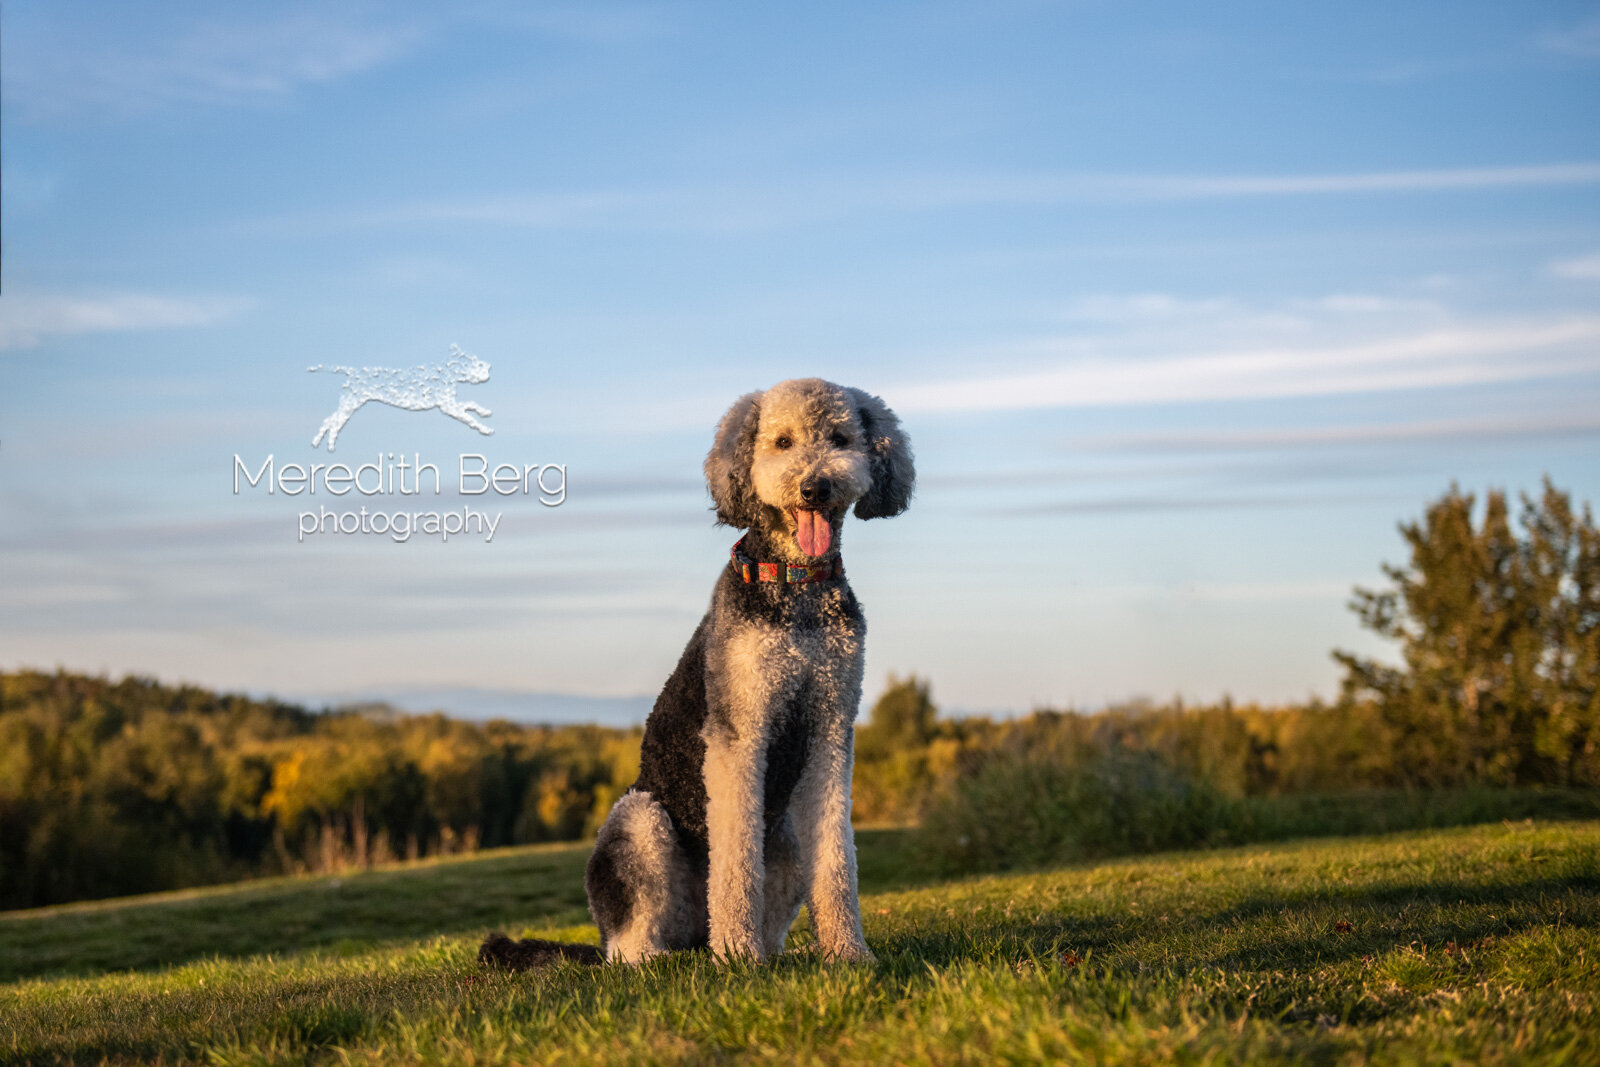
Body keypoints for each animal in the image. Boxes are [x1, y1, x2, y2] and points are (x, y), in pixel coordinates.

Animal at [307, 343, 492, 447]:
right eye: (475, 362)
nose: (488, 369)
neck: (449, 373)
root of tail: (352, 371)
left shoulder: (449, 404)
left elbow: (471, 404)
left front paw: (485, 412)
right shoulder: (447, 406)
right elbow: (469, 417)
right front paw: (485, 428)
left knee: (330, 420)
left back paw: (319, 442)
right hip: (350, 404)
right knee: (334, 421)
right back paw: (328, 444)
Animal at [476, 379, 915, 972]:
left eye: (841, 438)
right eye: (782, 441)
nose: (814, 487)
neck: (795, 586)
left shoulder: (831, 727)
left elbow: (837, 860)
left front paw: (848, 953)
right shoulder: (740, 733)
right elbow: (735, 864)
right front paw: (738, 958)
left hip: (785, 834)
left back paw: (770, 951)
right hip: (639, 819)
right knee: (630, 948)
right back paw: (687, 957)